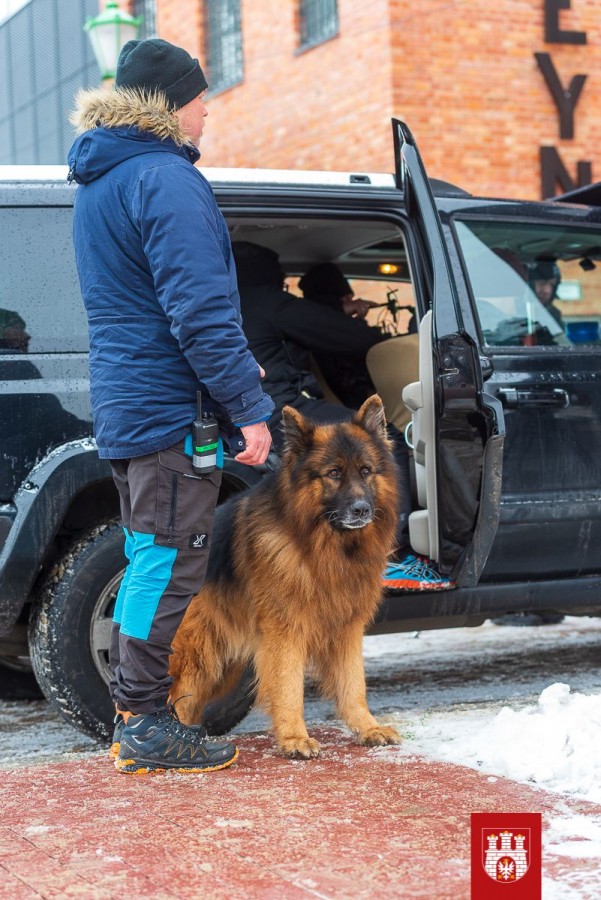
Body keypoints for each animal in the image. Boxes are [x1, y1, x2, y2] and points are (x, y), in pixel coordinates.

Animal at [169, 394, 402, 758]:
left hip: (221, 664)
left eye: (366, 471)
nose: (362, 509)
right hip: (196, 655)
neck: (323, 547)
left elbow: (354, 684)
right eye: (333, 473)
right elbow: (289, 686)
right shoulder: (286, 633)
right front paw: (294, 737)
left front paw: (367, 728)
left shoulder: (347, 628)